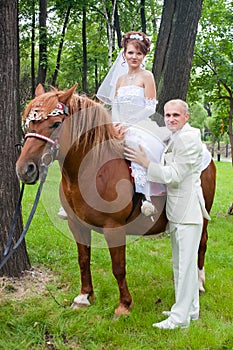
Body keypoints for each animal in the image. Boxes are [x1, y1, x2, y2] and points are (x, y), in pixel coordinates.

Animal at [16, 85, 217, 318]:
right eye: (28, 123)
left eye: (56, 123)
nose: (25, 169)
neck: (94, 170)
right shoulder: (76, 225)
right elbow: (83, 260)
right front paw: (84, 297)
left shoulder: (114, 228)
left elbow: (118, 267)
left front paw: (124, 305)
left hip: (201, 217)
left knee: (201, 244)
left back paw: (199, 283)